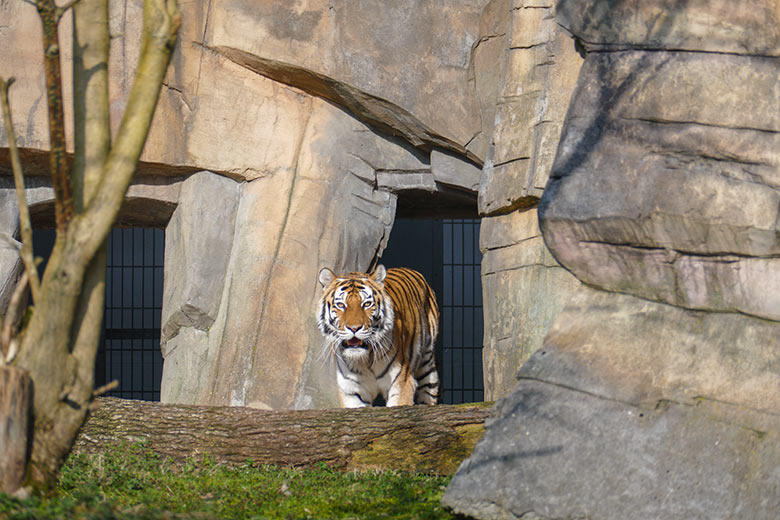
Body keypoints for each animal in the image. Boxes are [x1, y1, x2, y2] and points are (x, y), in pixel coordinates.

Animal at [316, 266, 438, 408]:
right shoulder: (351, 391)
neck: (364, 361)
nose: (354, 328)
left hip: (427, 363)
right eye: (341, 305)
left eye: (367, 304)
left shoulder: (401, 383)